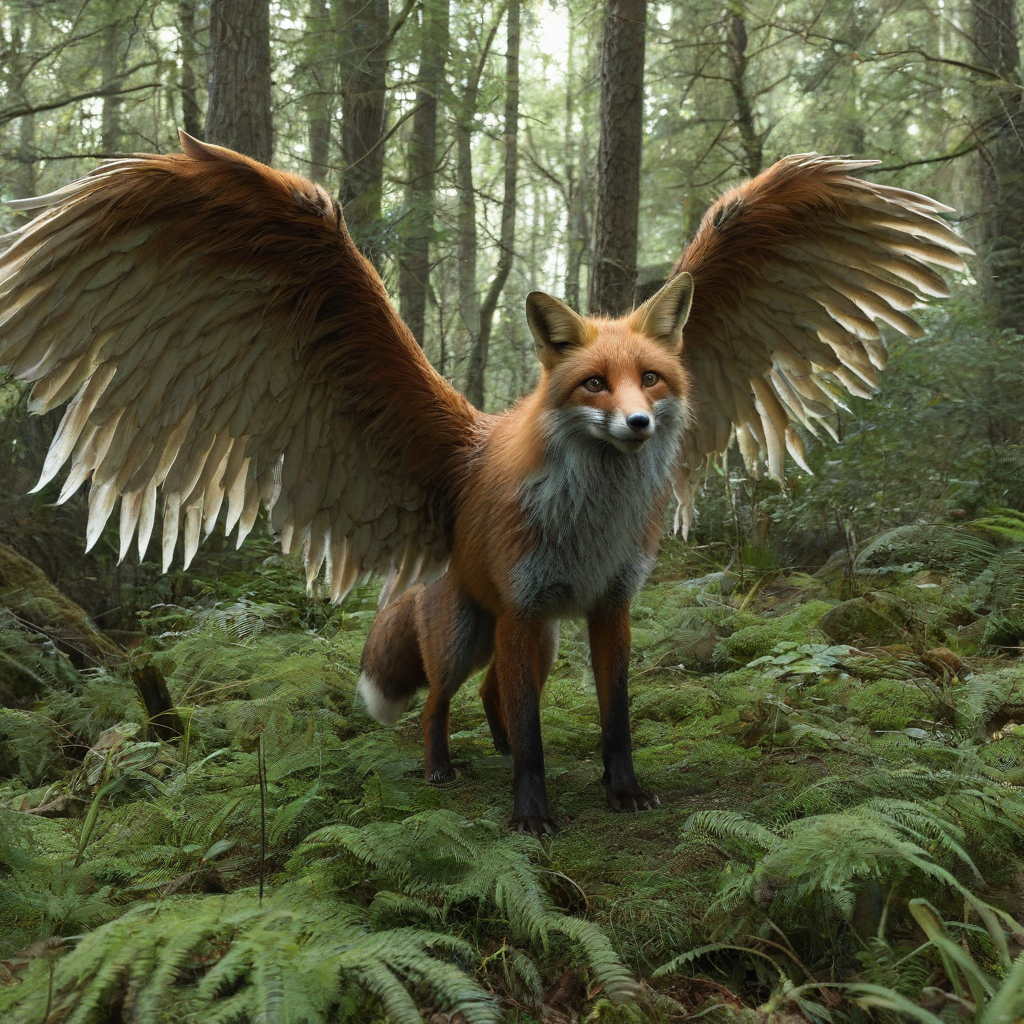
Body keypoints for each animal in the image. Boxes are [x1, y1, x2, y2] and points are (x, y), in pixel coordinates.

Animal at [357, 276, 695, 832]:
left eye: (650, 378)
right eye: (595, 384)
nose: (638, 422)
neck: (591, 527)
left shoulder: (611, 608)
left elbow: (616, 720)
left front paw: (623, 790)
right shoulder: (520, 609)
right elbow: (531, 736)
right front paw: (531, 815)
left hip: (540, 642)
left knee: (490, 692)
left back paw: (501, 746)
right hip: (464, 645)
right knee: (436, 706)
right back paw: (440, 768)